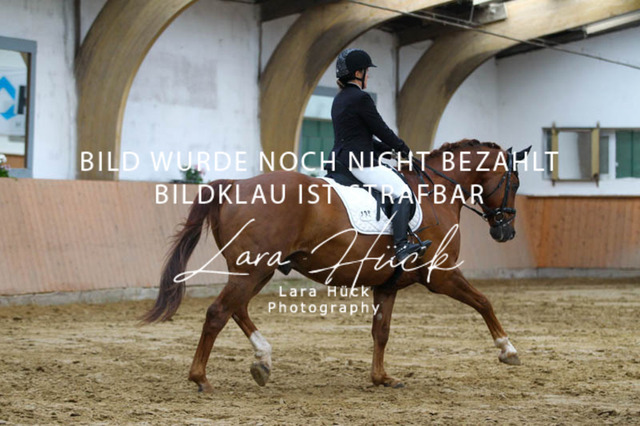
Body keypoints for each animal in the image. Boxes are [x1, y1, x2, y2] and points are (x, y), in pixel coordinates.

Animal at [142, 139, 527, 392]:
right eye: (515, 182)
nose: (507, 232)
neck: (436, 193)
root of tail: (236, 185)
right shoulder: (442, 276)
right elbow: (484, 302)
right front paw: (508, 350)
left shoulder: (387, 285)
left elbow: (381, 331)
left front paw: (381, 378)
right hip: (253, 269)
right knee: (218, 312)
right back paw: (201, 378)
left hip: (257, 269)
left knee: (236, 309)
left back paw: (262, 361)